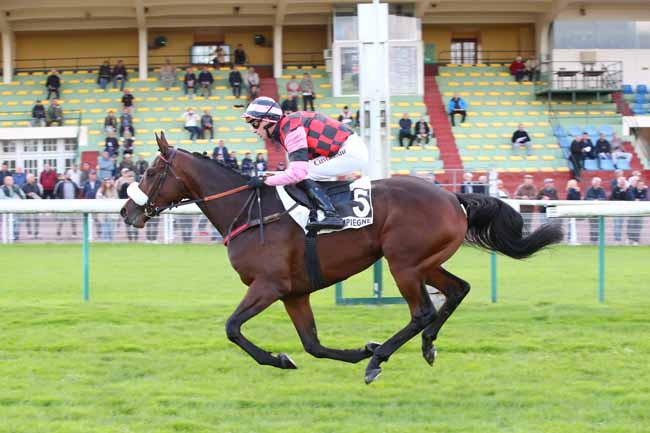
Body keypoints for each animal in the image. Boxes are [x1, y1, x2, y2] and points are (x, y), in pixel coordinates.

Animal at [121, 133, 560, 384]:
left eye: (150, 172)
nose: (127, 211)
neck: (251, 211)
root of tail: (454, 196)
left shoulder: (269, 286)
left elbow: (232, 328)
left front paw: (281, 359)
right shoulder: (294, 293)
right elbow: (313, 345)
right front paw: (353, 351)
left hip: (402, 264)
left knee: (423, 311)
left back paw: (380, 358)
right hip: (426, 262)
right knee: (456, 291)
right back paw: (425, 347)